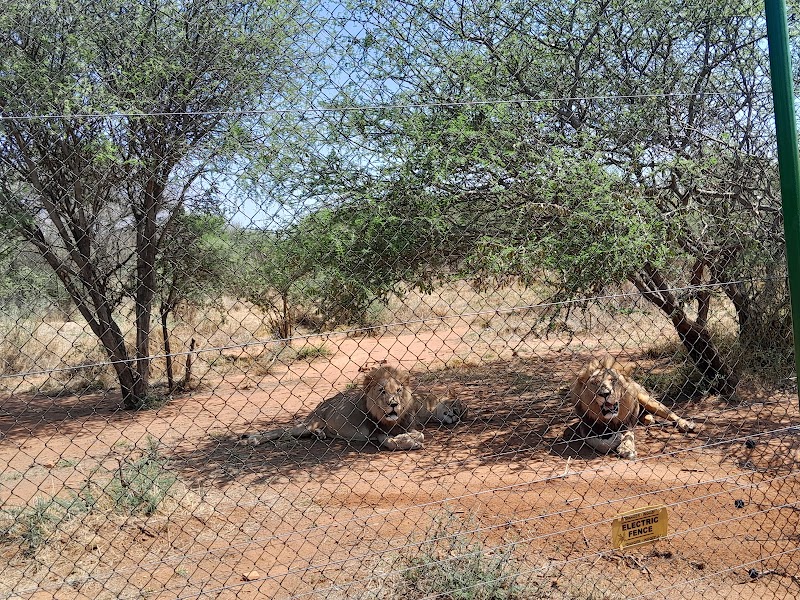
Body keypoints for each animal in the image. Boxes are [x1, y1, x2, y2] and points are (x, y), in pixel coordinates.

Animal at [238, 365, 467, 451]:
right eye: (382, 391)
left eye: (399, 390)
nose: (456, 416)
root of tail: (323, 403)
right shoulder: (378, 433)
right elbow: (392, 442)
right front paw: (406, 442)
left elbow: (419, 434)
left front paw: (409, 438)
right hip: (311, 420)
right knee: (282, 430)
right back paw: (253, 439)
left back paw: (320, 435)